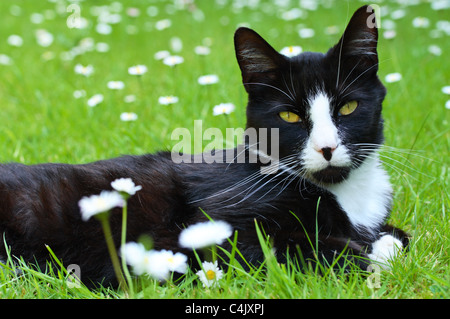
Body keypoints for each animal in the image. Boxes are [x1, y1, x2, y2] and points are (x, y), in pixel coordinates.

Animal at [0, 5, 408, 290]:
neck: (345, 191)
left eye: (348, 107)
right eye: (289, 116)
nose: (326, 148)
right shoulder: (224, 226)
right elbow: (314, 250)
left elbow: (398, 236)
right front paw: (370, 255)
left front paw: (385, 242)